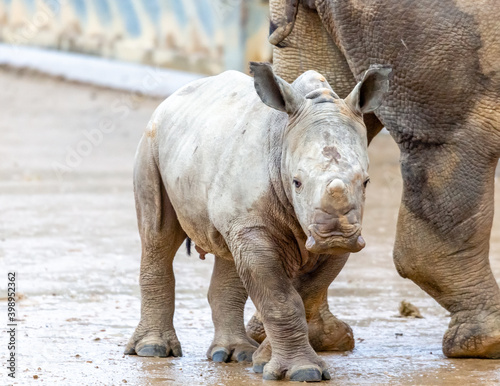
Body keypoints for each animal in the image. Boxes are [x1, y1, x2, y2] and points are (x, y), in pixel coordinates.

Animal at [125, 61, 390, 382]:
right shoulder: (253, 225)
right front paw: (302, 372)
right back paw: (152, 350)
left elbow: (303, 294)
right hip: (151, 140)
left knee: (228, 252)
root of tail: (172, 97)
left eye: (366, 182)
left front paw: (264, 361)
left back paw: (232, 354)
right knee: (158, 235)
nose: (336, 235)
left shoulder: (338, 242)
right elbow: (280, 299)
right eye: (297, 182)